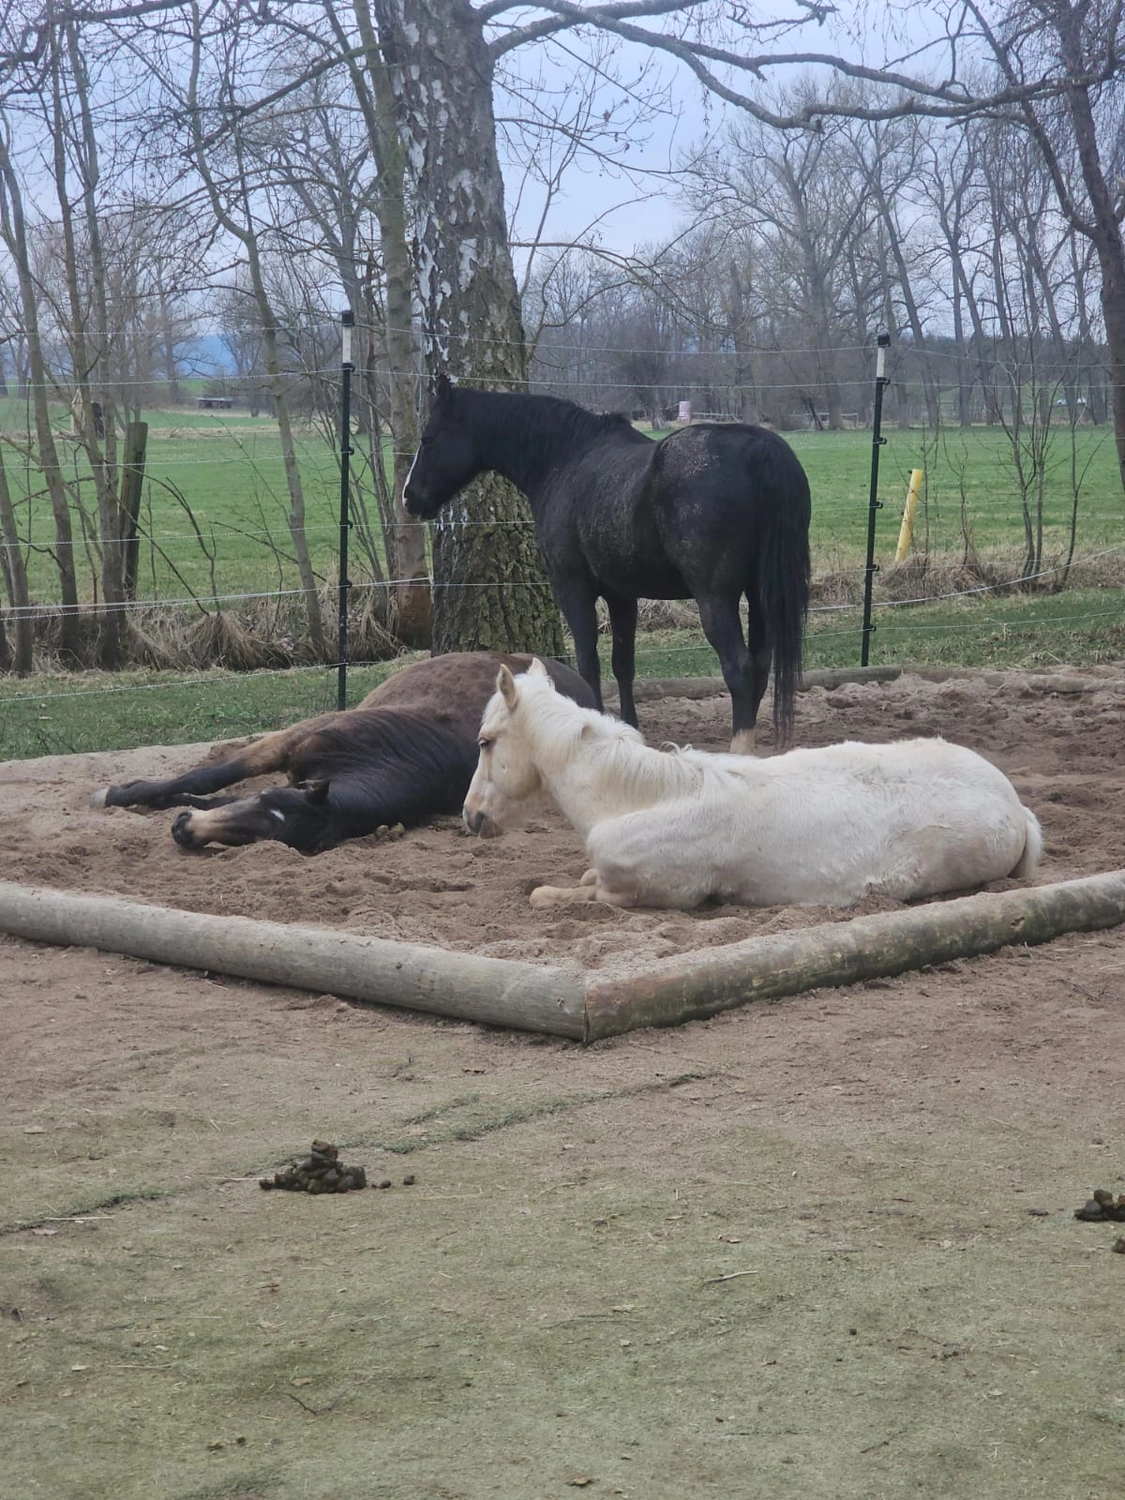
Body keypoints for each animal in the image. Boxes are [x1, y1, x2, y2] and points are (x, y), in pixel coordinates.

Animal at [90, 652, 595, 854]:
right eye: (263, 800)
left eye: (266, 837)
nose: (183, 832)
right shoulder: (292, 741)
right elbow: (208, 777)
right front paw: (121, 793)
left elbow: (212, 794)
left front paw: (172, 806)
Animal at [403, 375, 811, 753]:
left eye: (428, 438)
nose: (410, 499)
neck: (564, 459)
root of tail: (757, 447)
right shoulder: (621, 595)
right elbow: (622, 664)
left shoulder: (572, 588)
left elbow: (588, 663)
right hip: (759, 596)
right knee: (760, 665)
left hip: (715, 598)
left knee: (739, 668)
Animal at [462, 660, 1043, 911]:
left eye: (485, 742)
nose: (470, 816)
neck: (640, 801)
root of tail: (1014, 805)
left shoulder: (640, 894)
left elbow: (554, 895)